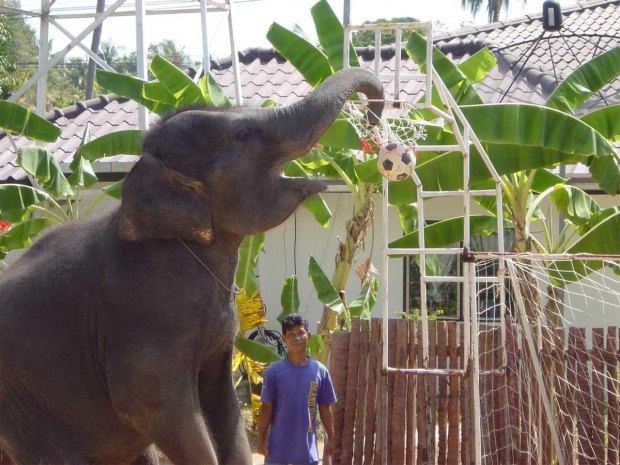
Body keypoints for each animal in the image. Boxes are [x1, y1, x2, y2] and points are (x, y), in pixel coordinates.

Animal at [0, 68, 382, 464]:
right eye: (242, 135)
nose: (371, 119)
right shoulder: (141, 318)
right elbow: (153, 406)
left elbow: (223, 404)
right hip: (25, 410)